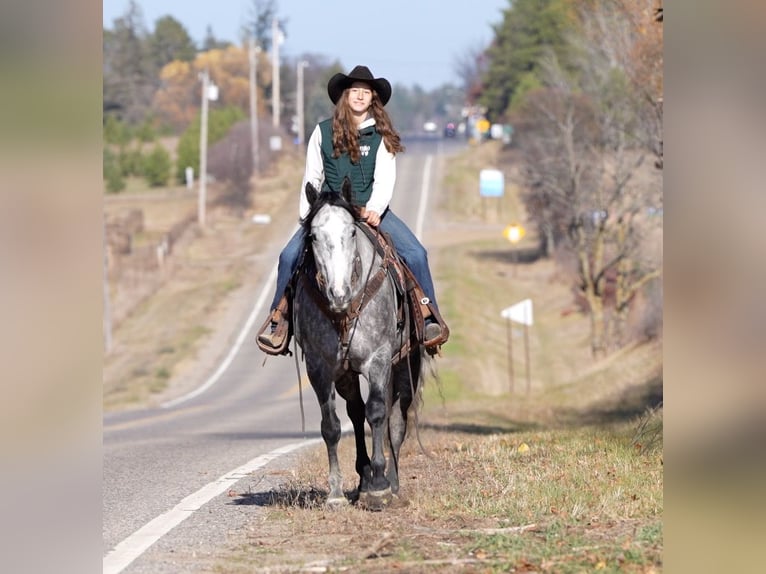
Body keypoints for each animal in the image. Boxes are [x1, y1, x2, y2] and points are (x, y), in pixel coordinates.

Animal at [294, 178, 426, 510]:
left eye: (351, 232)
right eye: (314, 236)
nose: (338, 293)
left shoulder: (378, 359)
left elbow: (377, 413)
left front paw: (379, 487)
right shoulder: (320, 368)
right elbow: (331, 425)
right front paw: (336, 493)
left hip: (406, 365)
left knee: (396, 420)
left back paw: (390, 482)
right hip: (346, 374)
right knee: (355, 412)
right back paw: (362, 476)